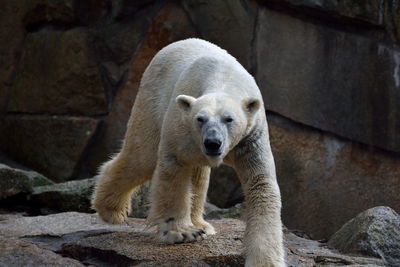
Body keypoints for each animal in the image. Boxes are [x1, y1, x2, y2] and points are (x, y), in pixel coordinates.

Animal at [91, 38, 284, 266]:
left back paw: (201, 224)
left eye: (229, 119)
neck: (224, 79)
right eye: (200, 119)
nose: (212, 143)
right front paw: (181, 233)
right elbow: (174, 168)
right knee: (142, 157)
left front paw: (265, 261)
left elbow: (260, 184)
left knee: (197, 174)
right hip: (152, 99)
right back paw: (112, 210)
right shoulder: (183, 124)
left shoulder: (251, 138)